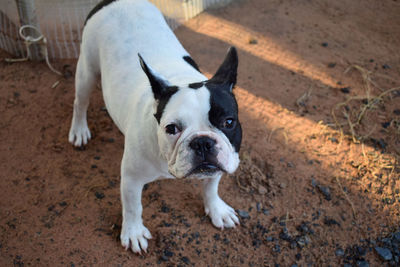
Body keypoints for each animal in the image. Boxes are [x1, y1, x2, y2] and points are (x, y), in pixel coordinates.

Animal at [69, 0, 241, 253]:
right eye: (172, 128)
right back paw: (79, 129)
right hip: (86, 71)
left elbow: (211, 186)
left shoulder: (220, 162)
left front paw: (216, 209)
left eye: (228, 122)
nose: (202, 142)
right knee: (80, 101)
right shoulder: (131, 177)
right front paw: (133, 232)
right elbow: (133, 206)